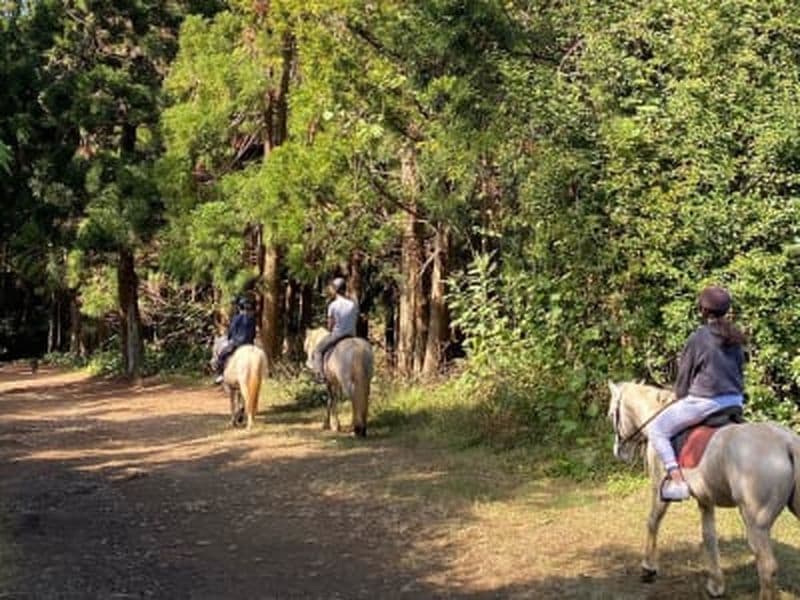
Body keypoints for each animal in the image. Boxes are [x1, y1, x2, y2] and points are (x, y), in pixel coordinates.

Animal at [607, 381, 800, 600]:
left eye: (612, 414)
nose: (619, 452)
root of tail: (786, 441)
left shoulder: (659, 490)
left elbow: (653, 522)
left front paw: (648, 568)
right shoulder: (705, 499)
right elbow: (709, 537)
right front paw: (715, 585)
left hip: (756, 524)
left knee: (767, 567)